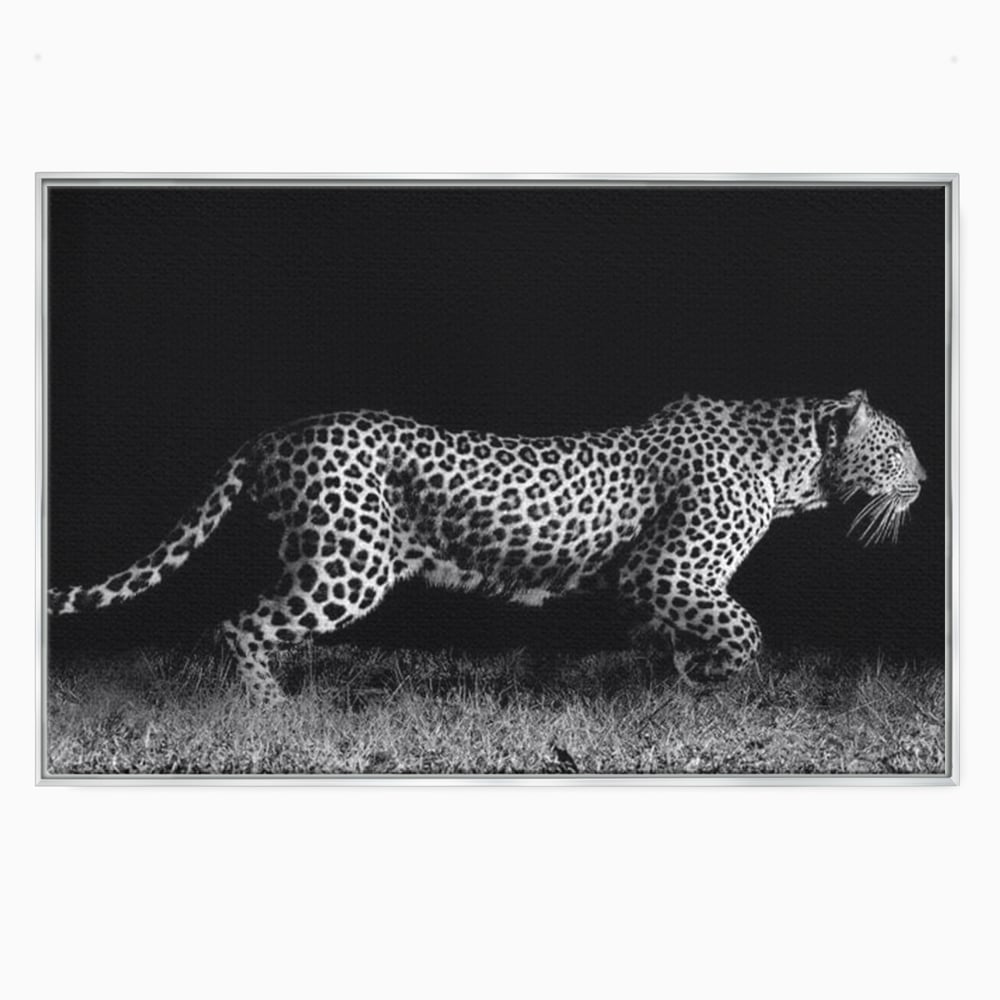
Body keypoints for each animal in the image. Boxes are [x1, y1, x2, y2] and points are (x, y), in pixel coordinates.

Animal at [48, 389, 925, 705]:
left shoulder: (654, 586)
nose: (923, 480)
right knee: (241, 625)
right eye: (899, 448)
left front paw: (675, 687)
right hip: (347, 564)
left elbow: (677, 639)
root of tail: (276, 432)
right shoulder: (668, 569)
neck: (794, 469)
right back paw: (273, 714)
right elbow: (746, 629)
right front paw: (711, 677)